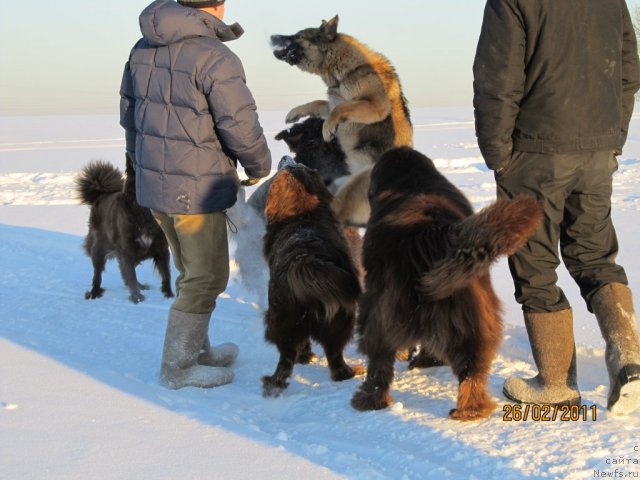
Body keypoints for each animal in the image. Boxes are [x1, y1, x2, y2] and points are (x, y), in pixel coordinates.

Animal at [75, 155, 172, 304]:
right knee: (98, 275)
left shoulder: (161, 247)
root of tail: (101, 194)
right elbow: (130, 275)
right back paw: (94, 293)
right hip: (99, 249)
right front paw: (137, 298)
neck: (144, 213)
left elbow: (166, 273)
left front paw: (169, 295)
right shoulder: (126, 250)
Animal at [260, 163, 362, 396]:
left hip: (282, 318)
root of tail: (305, 259)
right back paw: (346, 374)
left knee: (286, 358)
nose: (286, 158)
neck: (301, 216)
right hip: (340, 317)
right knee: (334, 353)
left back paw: (274, 383)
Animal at [268, 14, 410, 176]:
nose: (272, 36)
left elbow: (340, 108)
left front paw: (327, 129)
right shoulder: (334, 101)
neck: (344, 72)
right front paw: (294, 113)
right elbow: (319, 103)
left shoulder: (377, 106)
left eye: (298, 35)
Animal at [350, 147, 544, 420]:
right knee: (471, 369)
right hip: (471, 317)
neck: (412, 181)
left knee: (379, 362)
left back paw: (368, 399)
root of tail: (428, 234)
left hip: (381, 312)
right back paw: (471, 409)